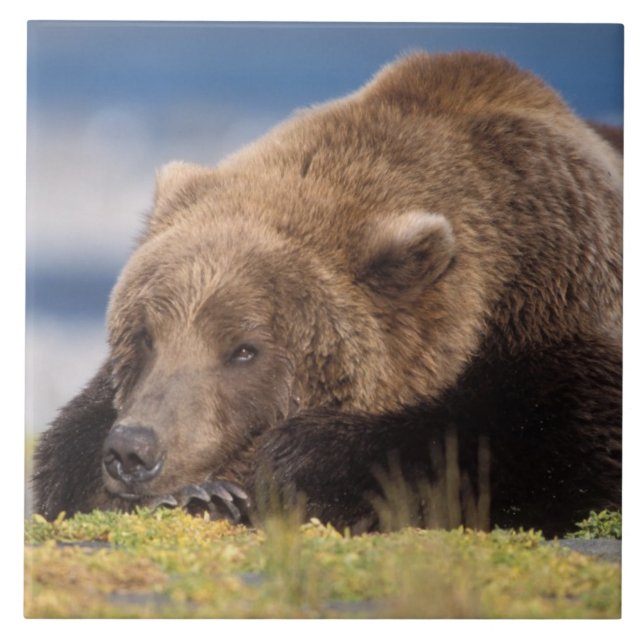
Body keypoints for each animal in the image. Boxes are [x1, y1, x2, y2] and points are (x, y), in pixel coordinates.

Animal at [32, 51, 622, 537]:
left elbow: (551, 440)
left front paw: (287, 467)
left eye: (245, 350)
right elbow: (66, 451)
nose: (134, 450)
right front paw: (198, 491)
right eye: (144, 335)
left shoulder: (560, 305)